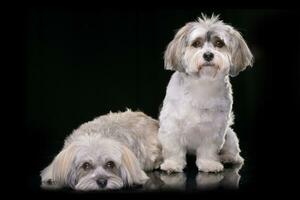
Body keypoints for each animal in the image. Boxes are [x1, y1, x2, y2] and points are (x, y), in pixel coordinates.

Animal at [159, 14, 253, 173]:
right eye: (196, 43)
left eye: (219, 43)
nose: (208, 55)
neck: (203, 83)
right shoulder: (171, 125)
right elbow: (174, 148)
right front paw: (172, 164)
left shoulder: (214, 130)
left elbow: (208, 150)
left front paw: (209, 164)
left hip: (230, 135)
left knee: (234, 150)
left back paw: (228, 157)